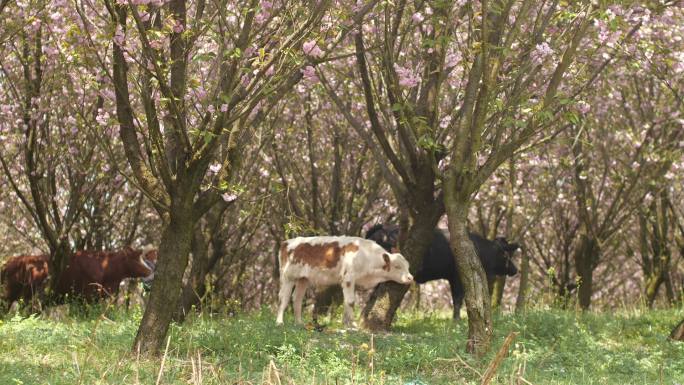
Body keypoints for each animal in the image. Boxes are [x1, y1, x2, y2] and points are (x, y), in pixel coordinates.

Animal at [276, 236, 412, 326]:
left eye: (408, 266)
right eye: (397, 266)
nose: (410, 278)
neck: (367, 256)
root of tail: (287, 242)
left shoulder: (352, 282)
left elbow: (347, 302)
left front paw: (346, 324)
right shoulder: (348, 278)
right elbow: (351, 302)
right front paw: (353, 325)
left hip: (303, 279)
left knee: (297, 298)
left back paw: (299, 323)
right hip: (288, 276)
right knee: (284, 297)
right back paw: (279, 322)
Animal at [368, 222, 520, 318]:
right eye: (506, 255)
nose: (515, 269)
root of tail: (380, 228)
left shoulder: (452, 278)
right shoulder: (457, 277)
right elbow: (458, 300)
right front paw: (456, 321)